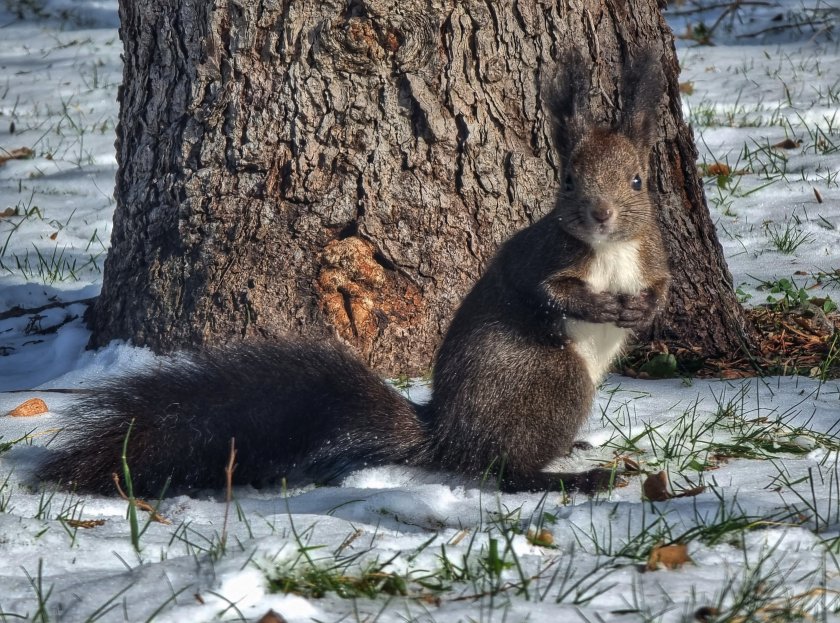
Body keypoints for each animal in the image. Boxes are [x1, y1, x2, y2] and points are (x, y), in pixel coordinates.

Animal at [37, 54, 668, 502]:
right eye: (567, 180)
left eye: (638, 180)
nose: (600, 214)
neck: (610, 251)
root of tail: (447, 436)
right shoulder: (540, 256)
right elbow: (543, 291)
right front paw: (601, 307)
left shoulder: (651, 255)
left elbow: (662, 286)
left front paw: (643, 310)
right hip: (554, 380)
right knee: (502, 471)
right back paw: (573, 478)